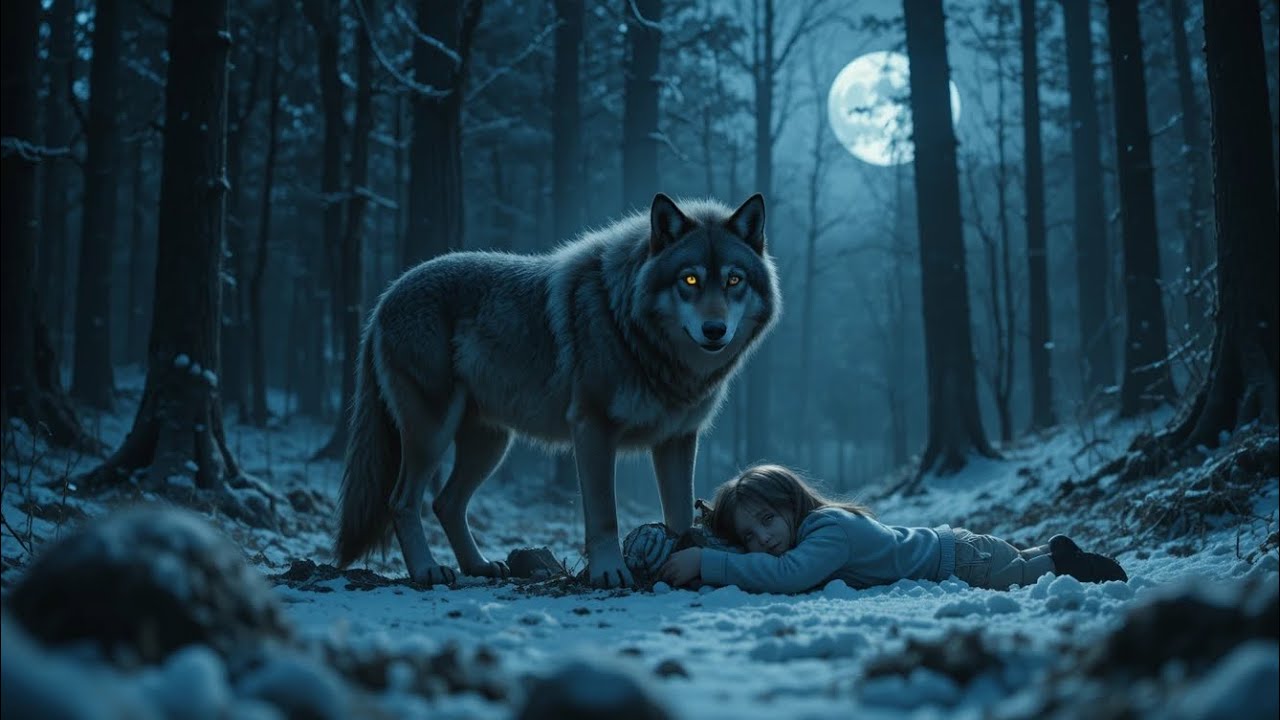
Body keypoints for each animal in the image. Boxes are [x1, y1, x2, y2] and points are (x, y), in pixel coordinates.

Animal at [334, 193, 780, 588]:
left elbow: (681, 516)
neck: (633, 331)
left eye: (734, 280)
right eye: (690, 279)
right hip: (432, 433)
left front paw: (687, 560)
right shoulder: (593, 429)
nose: (714, 330)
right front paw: (609, 573)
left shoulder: (678, 439)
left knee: (446, 503)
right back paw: (427, 570)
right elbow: (604, 515)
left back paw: (479, 566)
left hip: (490, 444)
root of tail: (386, 296)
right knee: (402, 501)